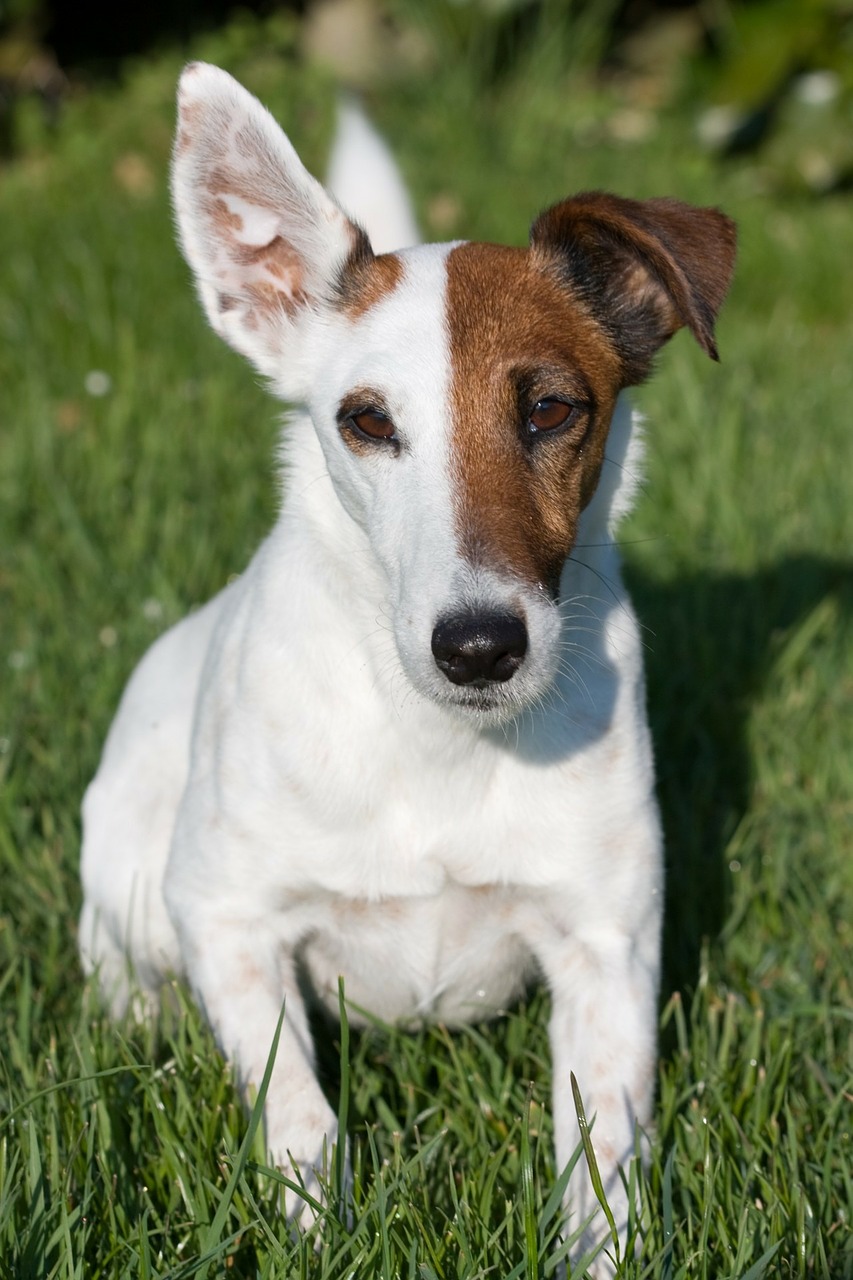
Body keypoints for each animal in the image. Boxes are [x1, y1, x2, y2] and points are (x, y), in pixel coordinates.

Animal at [78, 64, 732, 1274]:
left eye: (551, 407)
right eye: (366, 422)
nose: (477, 645)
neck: (437, 742)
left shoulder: (605, 942)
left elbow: (605, 1146)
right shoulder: (229, 917)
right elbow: (297, 1110)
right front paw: (315, 1225)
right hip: (133, 875)